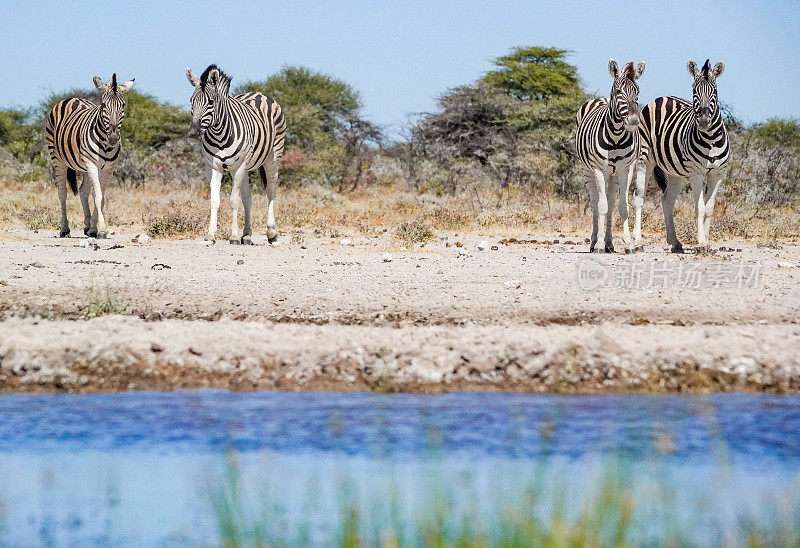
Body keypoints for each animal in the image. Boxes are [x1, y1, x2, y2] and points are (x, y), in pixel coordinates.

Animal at [45, 73, 135, 238]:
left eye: (123, 106)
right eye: (104, 105)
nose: (113, 138)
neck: (105, 144)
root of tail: (72, 98)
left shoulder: (108, 168)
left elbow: (101, 197)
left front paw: (94, 228)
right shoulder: (92, 165)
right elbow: (97, 196)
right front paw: (103, 229)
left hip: (85, 166)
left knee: (83, 191)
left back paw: (87, 226)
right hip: (58, 159)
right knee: (62, 192)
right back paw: (65, 229)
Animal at [186, 63, 286, 244]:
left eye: (210, 102)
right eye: (191, 101)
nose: (193, 133)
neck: (219, 134)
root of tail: (258, 93)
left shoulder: (238, 167)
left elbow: (234, 200)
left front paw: (233, 236)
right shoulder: (214, 167)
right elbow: (215, 200)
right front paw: (211, 234)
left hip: (273, 158)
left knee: (270, 192)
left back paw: (271, 232)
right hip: (246, 167)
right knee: (248, 199)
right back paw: (246, 235)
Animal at [576, 59, 644, 253]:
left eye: (637, 91)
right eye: (619, 91)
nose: (634, 122)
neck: (616, 136)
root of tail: (600, 99)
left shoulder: (626, 170)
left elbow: (622, 207)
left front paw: (628, 243)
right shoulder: (599, 170)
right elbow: (601, 206)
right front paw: (598, 244)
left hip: (613, 175)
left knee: (612, 203)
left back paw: (610, 243)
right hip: (587, 171)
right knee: (594, 203)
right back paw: (594, 242)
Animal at [632, 59, 732, 253]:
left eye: (714, 90)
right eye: (694, 90)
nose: (703, 121)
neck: (711, 139)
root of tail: (661, 98)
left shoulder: (717, 174)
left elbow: (709, 209)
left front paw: (707, 241)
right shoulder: (696, 174)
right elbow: (700, 208)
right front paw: (701, 243)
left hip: (675, 172)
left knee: (667, 200)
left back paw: (675, 242)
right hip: (644, 160)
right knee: (639, 198)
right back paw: (638, 241)